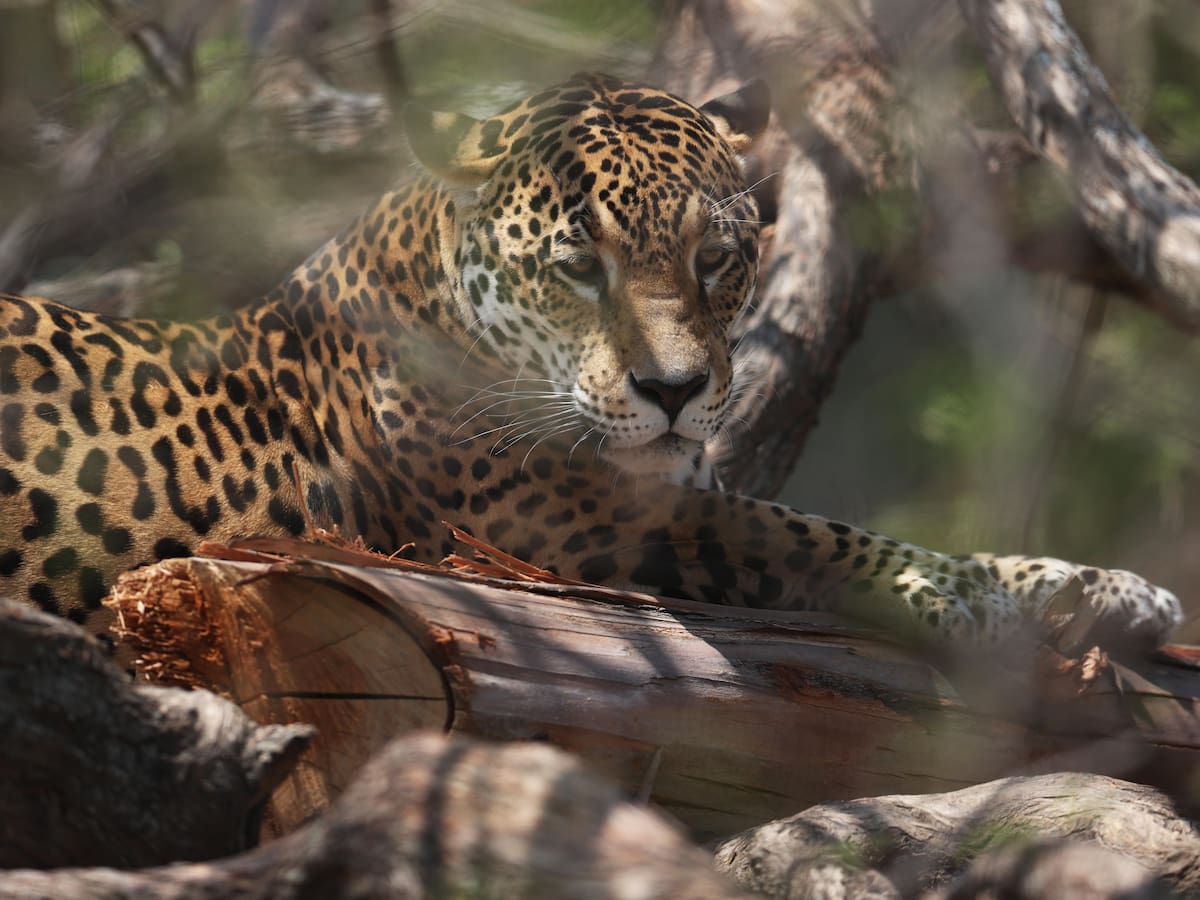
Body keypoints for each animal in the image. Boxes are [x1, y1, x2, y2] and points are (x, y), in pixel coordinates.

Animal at [0, 72, 1182, 650]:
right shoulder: (558, 516)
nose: (675, 391)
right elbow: (809, 531)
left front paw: (1097, 588)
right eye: (578, 269)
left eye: (716, 259)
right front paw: (975, 595)